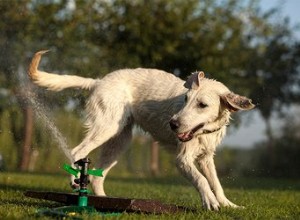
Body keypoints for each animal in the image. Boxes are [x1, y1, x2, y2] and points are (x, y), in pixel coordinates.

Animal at [28, 50, 254, 210]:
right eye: (185, 99)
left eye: (202, 105)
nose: (172, 124)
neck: (203, 133)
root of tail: (98, 81)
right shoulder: (182, 160)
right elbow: (202, 180)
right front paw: (210, 201)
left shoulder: (206, 158)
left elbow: (216, 183)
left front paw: (228, 204)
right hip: (106, 128)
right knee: (76, 152)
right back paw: (75, 181)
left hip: (119, 141)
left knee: (96, 176)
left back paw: (104, 201)